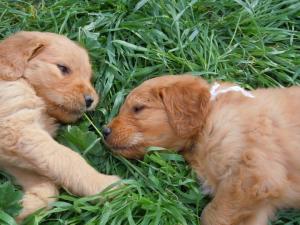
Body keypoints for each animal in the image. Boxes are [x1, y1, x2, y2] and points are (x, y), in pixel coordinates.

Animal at [0, 31, 119, 221]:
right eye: (63, 68)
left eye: (89, 77)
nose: (90, 100)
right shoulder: (18, 130)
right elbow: (69, 160)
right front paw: (105, 185)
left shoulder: (11, 155)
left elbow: (48, 189)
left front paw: (22, 208)